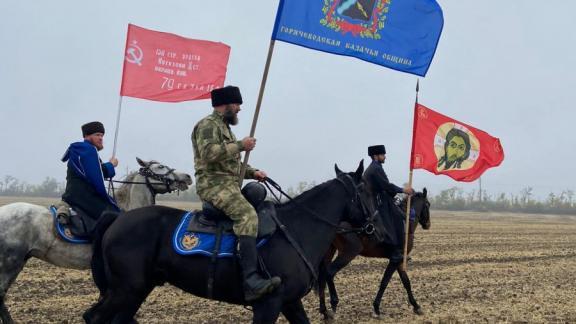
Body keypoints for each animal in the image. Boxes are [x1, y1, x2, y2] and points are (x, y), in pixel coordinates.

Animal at [83, 162, 376, 324]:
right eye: (366, 190)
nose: (374, 225)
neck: (296, 230)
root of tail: (117, 219)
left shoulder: (290, 302)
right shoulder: (268, 305)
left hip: (136, 290)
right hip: (125, 290)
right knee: (93, 318)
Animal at [318, 189, 430, 320]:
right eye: (427, 204)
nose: (428, 224)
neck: (406, 222)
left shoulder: (399, 260)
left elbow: (406, 282)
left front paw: (416, 306)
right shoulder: (395, 260)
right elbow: (384, 282)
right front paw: (376, 308)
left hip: (329, 252)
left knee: (322, 277)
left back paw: (324, 311)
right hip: (348, 253)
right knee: (329, 272)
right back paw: (334, 304)